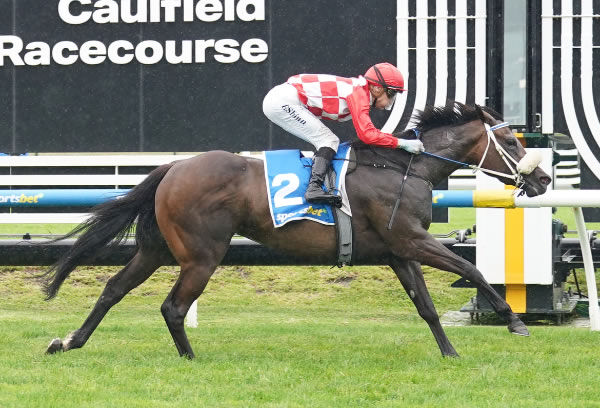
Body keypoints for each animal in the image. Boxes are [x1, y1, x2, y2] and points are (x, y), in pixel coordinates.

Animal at [42, 101, 552, 356]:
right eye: (511, 143)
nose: (544, 180)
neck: (405, 166)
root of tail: (173, 168)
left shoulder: (398, 251)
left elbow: (425, 306)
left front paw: (450, 353)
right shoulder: (413, 240)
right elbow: (473, 271)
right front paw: (513, 322)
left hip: (158, 249)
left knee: (113, 288)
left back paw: (68, 342)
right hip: (202, 255)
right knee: (172, 307)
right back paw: (190, 357)